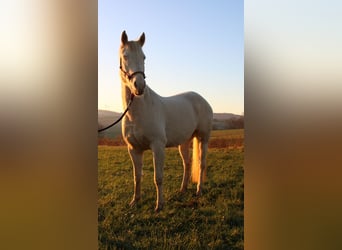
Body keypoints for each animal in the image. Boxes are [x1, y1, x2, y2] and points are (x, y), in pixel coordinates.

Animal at [119, 30, 212, 211]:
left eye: (144, 57)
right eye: (125, 56)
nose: (139, 86)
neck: (137, 112)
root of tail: (201, 99)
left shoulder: (158, 146)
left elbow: (158, 177)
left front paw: (159, 205)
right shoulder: (133, 149)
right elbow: (137, 176)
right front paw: (135, 201)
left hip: (203, 138)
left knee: (201, 163)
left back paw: (199, 191)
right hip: (184, 142)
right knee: (187, 163)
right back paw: (182, 189)